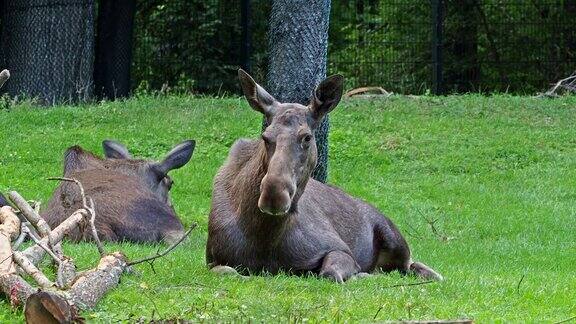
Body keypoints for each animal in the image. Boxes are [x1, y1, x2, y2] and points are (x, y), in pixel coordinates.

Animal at [206, 69, 440, 282]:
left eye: (307, 137)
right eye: (265, 136)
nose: (274, 195)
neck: (264, 236)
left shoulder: (340, 249)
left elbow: (329, 273)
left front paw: (359, 275)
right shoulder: (213, 260)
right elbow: (230, 272)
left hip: (393, 237)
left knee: (411, 264)